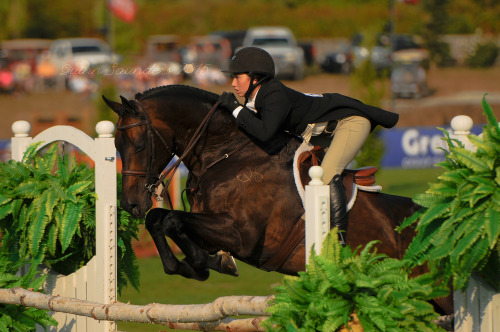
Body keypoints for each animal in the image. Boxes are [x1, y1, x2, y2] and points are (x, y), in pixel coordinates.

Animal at [101, 84, 454, 316]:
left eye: (139, 144)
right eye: (115, 145)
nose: (131, 204)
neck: (227, 152)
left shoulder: (242, 235)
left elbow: (171, 219)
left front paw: (204, 262)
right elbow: (160, 220)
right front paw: (195, 264)